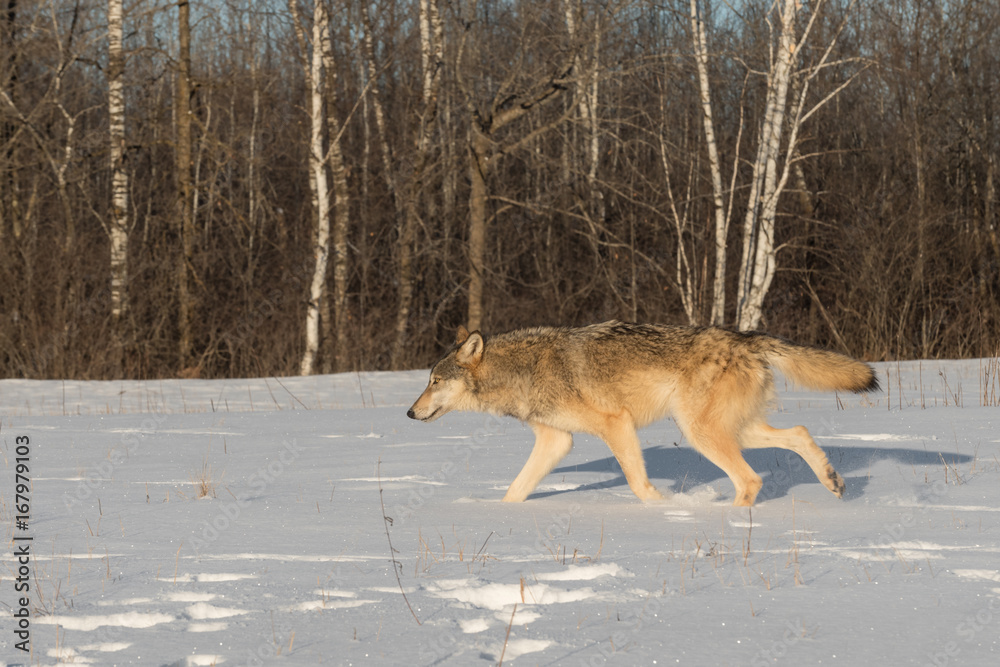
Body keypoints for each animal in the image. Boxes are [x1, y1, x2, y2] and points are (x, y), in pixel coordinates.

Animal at [407, 321, 879, 506]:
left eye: (434, 380)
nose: (410, 413)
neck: (522, 371)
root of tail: (746, 337)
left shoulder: (616, 424)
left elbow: (637, 482)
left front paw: (660, 508)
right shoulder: (556, 440)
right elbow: (515, 491)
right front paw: (499, 514)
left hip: (702, 433)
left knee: (751, 479)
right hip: (728, 430)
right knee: (799, 431)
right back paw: (833, 482)